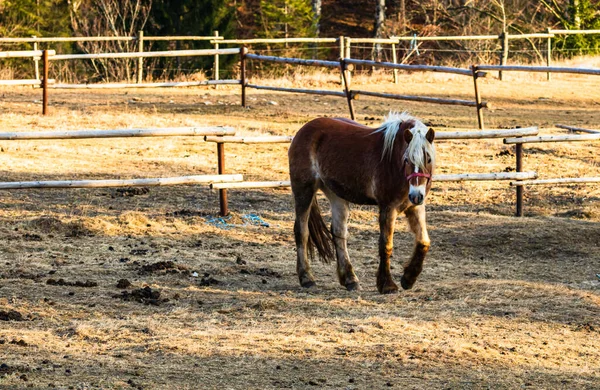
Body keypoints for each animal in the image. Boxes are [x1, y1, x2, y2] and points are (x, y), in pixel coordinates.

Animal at [288, 111, 436, 294]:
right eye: (407, 159)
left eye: (428, 159)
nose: (416, 195)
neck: (393, 160)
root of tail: (303, 130)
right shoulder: (388, 207)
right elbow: (386, 245)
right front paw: (387, 285)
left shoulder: (415, 207)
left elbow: (424, 242)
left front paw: (408, 279)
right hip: (304, 189)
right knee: (302, 231)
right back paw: (307, 278)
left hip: (336, 194)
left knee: (339, 233)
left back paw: (350, 279)